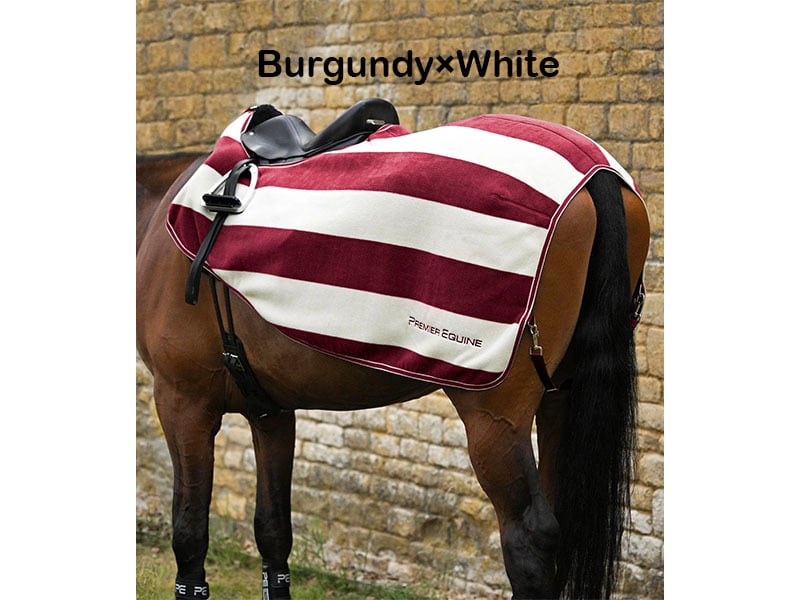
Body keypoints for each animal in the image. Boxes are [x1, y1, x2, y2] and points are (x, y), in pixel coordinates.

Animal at [136, 100, 650, 600]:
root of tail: (593, 173)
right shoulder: (271, 411)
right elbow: (273, 535)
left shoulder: (183, 403)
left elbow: (189, 538)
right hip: (559, 398)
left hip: (495, 418)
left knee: (531, 539)